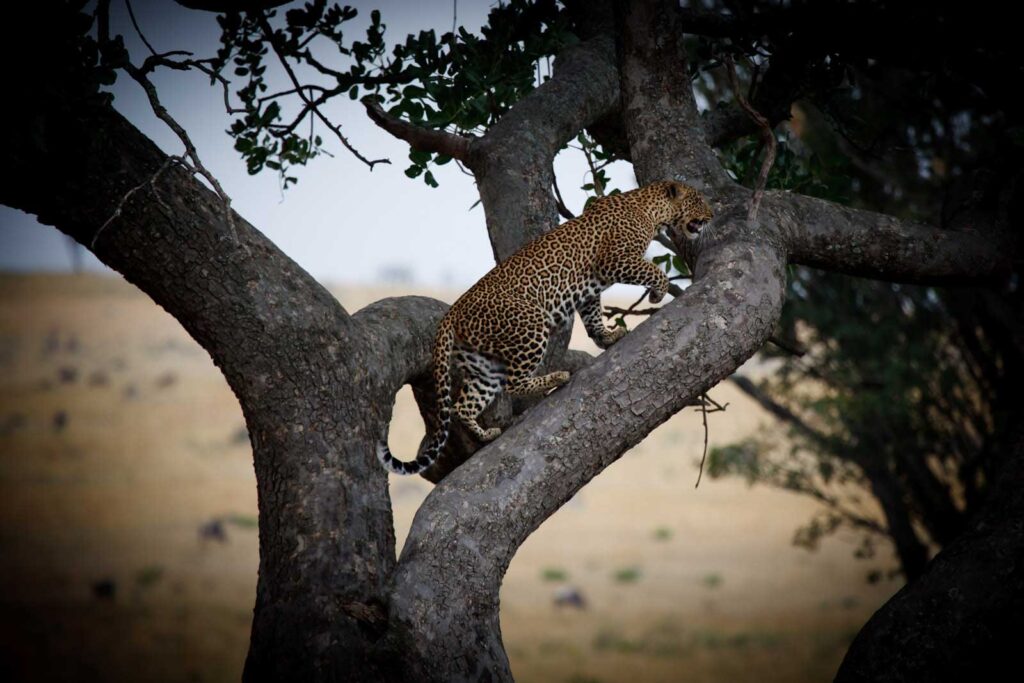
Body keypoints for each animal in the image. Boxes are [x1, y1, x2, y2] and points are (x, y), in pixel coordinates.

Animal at [374, 179, 712, 473]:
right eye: (699, 200)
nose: (711, 217)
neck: (651, 211)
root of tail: (451, 314)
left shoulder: (591, 288)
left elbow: (593, 318)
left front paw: (608, 337)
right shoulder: (615, 260)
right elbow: (654, 271)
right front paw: (656, 294)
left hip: (483, 364)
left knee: (464, 406)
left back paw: (488, 434)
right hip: (530, 325)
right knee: (513, 383)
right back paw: (557, 377)